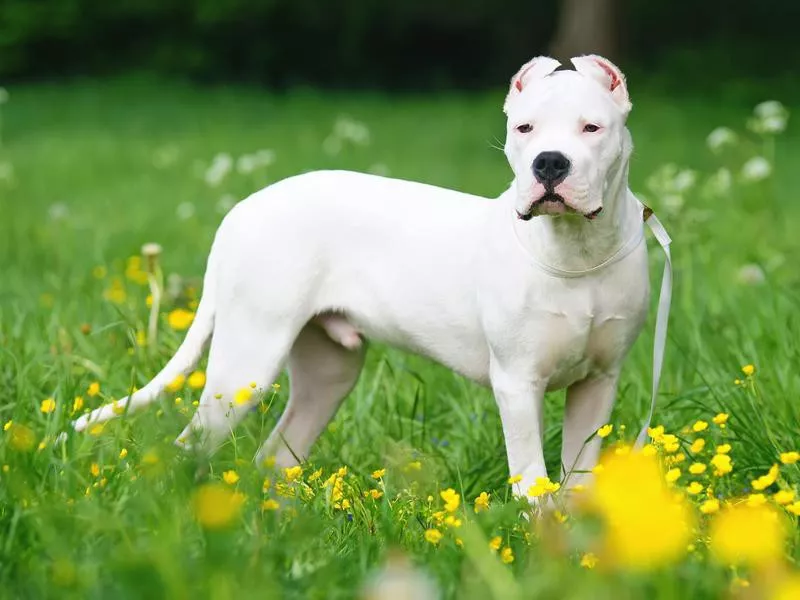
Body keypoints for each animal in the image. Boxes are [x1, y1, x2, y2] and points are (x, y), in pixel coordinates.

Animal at [78, 56, 660, 496]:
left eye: (592, 128)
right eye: (525, 129)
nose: (549, 164)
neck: (577, 253)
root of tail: (243, 208)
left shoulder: (597, 385)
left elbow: (577, 479)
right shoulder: (518, 384)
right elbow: (533, 482)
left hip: (328, 372)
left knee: (275, 456)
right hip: (246, 365)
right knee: (190, 446)